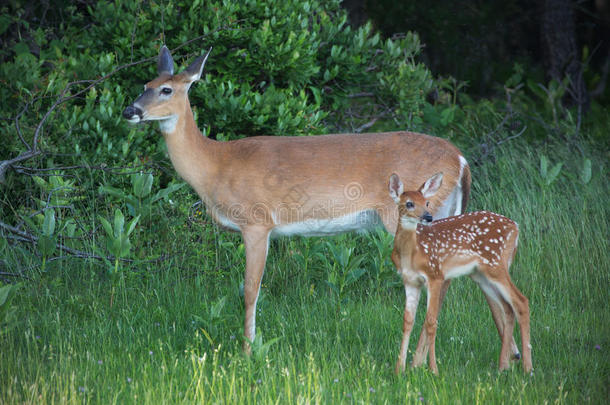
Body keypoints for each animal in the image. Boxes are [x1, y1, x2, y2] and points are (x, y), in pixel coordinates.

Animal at [120, 45, 508, 354]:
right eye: (144, 86)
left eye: (166, 89)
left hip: (420, 215)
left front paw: (247, 351)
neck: (215, 165)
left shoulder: (257, 222)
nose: (129, 111)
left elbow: (249, 290)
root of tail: (461, 160)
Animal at [390, 172, 528, 374]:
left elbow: (431, 321)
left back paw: (527, 367)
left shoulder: (435, 275)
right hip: (482, 275)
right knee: (507, 307)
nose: (428, 217)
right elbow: (407, 321)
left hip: (496, 265)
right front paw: (399, 370)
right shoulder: (410, 281)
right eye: (409, 203)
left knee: (521, 301)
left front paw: (433, 369)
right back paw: (503, 366)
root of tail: (516, 227)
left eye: (427, 202)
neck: (412, 253)